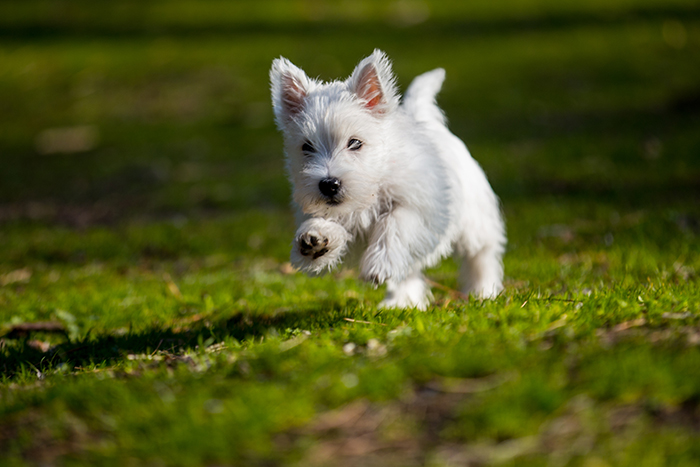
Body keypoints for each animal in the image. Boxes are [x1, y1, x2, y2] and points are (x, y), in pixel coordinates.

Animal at [270, 50, 506, 310]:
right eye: (307, 147)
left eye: (355, 142)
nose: (329, 184)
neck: (371, 188)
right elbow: (331, 223)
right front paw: (315, 239)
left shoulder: (420, 209)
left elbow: (394, 223)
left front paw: (378, 266)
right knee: (409, 269)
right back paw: (401, 302)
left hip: (475, 222)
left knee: (482, 256)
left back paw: (483, 292)